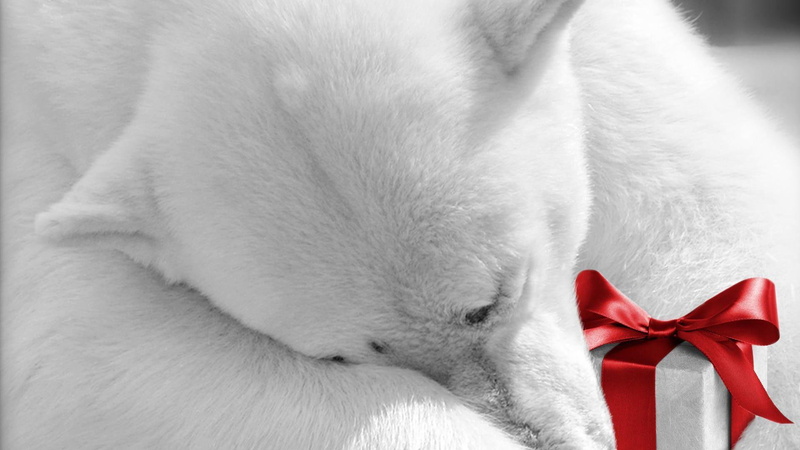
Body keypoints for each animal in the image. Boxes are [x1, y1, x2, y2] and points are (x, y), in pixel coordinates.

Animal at [2, 0, 798, 449]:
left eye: (492, 300)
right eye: (342, 356)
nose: (559, 441)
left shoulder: (616, 47)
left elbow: (713, 207)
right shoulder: (44, 158)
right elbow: (94, 355)